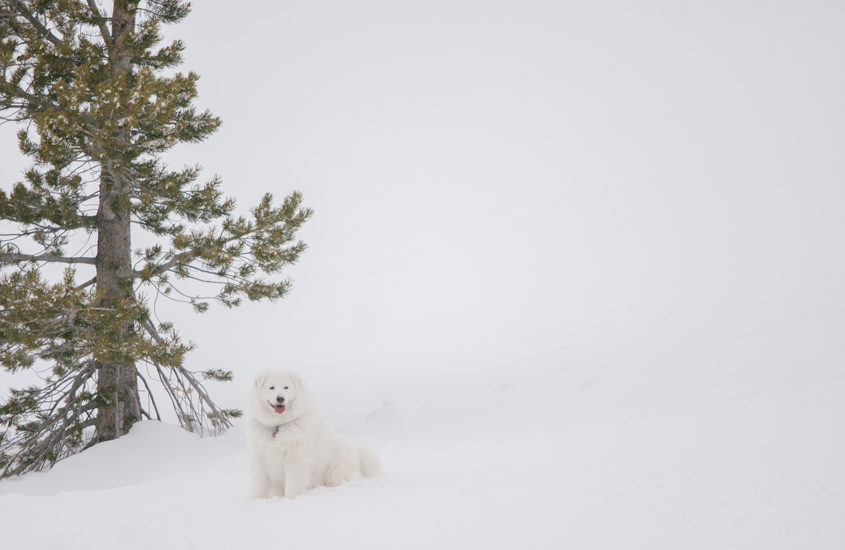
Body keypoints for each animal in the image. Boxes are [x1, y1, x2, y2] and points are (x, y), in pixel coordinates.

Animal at [242, 370, 378, 500]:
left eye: (286, 387)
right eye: (271, 387)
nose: (280, 398)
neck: (278, 425)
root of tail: (356, 451)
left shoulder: (296, 460)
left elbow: (293, 486)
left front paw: (291, 500)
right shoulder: (260, 459)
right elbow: (259, 486)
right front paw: (257, 500)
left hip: (336, 472)